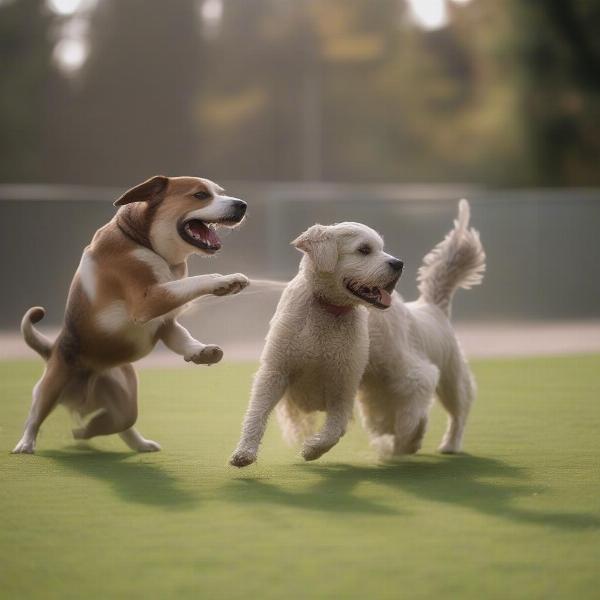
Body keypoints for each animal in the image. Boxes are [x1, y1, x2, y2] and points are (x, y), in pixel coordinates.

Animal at [12, 176, 250, 452]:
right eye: (200, 195)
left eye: (220, 192)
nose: (242, 205)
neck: (143, 241)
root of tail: (53, 350)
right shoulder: (147, 302)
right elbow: (198, 280)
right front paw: (225, 280)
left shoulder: (165, 322)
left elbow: (181, 336)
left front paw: (200, 351)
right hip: (52, 386)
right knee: (34, 416)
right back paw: (27, 443)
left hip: (124, 396)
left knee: (121, 422)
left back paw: (118, 438)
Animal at [229, 199, 482, 466]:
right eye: (364, 250)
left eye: (381, 248)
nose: (399, 263)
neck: (327, 311)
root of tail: (430, 308)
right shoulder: (275, 372)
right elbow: (256, 414)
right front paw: (244, 452)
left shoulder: (344, 383)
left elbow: (335, 429)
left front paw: (313, 449)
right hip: (381, 391)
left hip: (442, 378)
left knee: (439, 405)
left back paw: (440, 442)